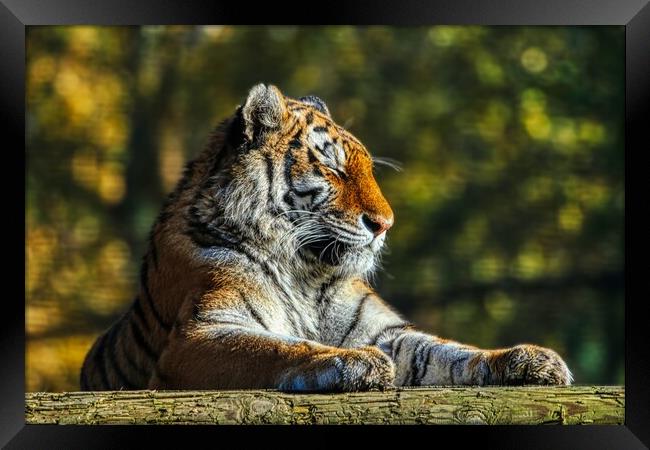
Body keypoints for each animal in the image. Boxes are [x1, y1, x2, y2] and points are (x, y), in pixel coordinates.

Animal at [78, 83, 568, 390]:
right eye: (333, 167)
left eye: (367, 167)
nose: (385, 223)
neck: (306, 273)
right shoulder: (200, 336)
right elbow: (276, 348)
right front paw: (354, 361)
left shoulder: (385, 331)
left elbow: (448, 353)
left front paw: (530, 359)